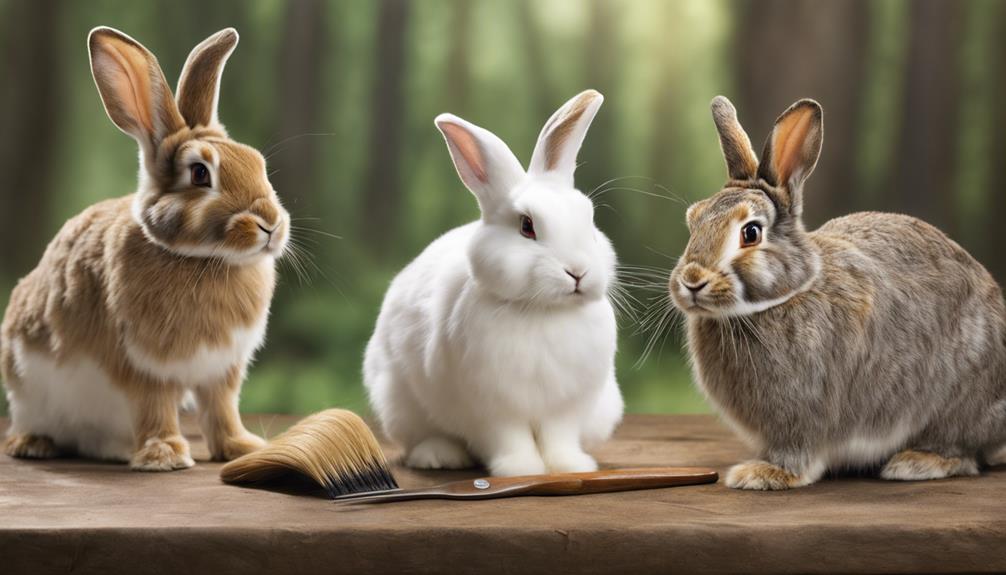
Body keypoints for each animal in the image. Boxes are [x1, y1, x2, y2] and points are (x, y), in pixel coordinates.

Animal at [0, 26, 291, 472]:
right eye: (200, 173)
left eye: (256, 162)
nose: (271, 225)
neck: (199, 259)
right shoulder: (142, 365)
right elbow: (155, 406)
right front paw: (164, 456)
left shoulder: (221, 370)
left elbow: (221, 409)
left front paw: (243, 448)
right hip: (23, 385)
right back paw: (34, 443)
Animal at [366, 89, 619, 476]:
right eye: (527, 226)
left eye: (589, 220)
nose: (577, 272)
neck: (543, 311)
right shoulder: (491, 408)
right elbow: (509, 438)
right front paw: (522, 470)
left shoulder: (567, 407)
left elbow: (559, 437)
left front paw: (569, 467)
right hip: (398, 401)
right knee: (422, 438)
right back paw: (439, 456)